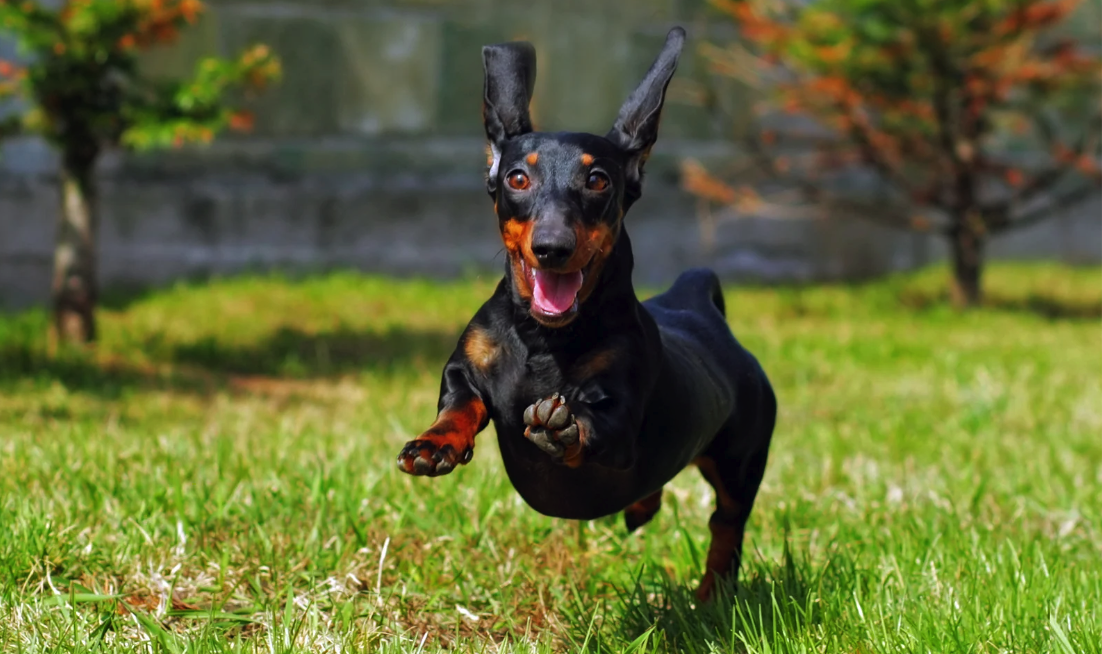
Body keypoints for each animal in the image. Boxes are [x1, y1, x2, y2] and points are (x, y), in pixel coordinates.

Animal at [394, 26, 775, 599]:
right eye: (517, 179)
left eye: (598, 180)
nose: (552, 247)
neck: (544, 339)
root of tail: (696, 303)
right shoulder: (464, 368)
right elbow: (460, 402)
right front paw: (434, 443)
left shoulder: (620, 415)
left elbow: (598, 427)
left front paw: (562, 427)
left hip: (740, 463)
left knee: (726, 525)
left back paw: (712, 595)